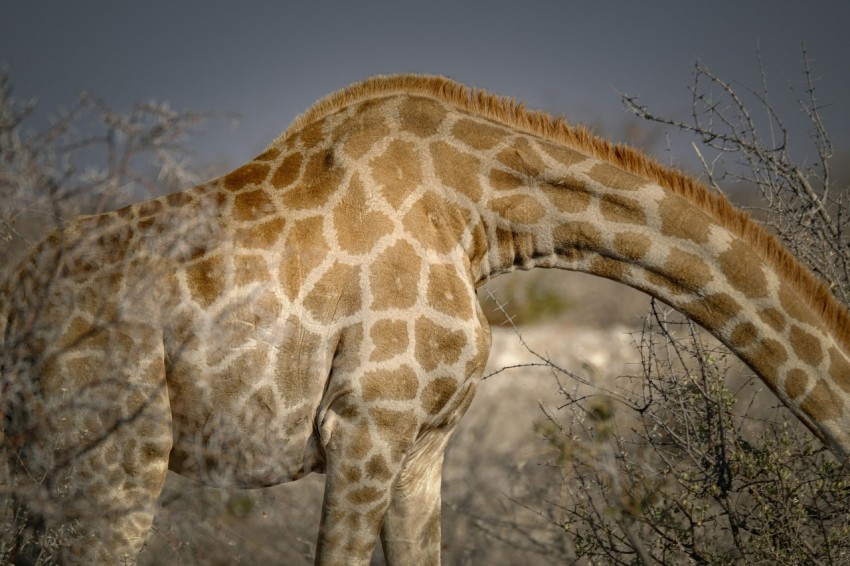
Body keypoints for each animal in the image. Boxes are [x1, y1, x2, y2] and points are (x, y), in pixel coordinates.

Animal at [1, 74, 848, 564]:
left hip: (43, 466)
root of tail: (16, 307)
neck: (482, 215)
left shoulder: (424, 443)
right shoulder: (365, 424)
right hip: (119, 454)